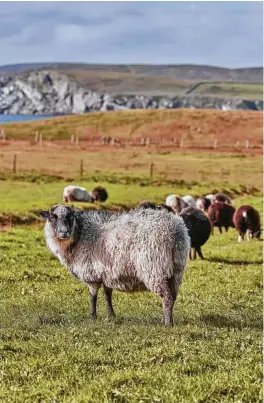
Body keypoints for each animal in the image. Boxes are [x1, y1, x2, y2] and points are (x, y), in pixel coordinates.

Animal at [39, 207, 190, 326]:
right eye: (52, 217)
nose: (64, 232)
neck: (80, 235)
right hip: (176, 270)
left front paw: (92, 317)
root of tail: (175, 229)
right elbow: (107, 295)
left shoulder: (91, 274)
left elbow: (92, 296)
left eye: (71, 217)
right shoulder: (108, 273)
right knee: (173, 296)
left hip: (154, 269)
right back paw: (167, 319)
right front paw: (111, 316)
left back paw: (167, 324)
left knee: (167, 297)